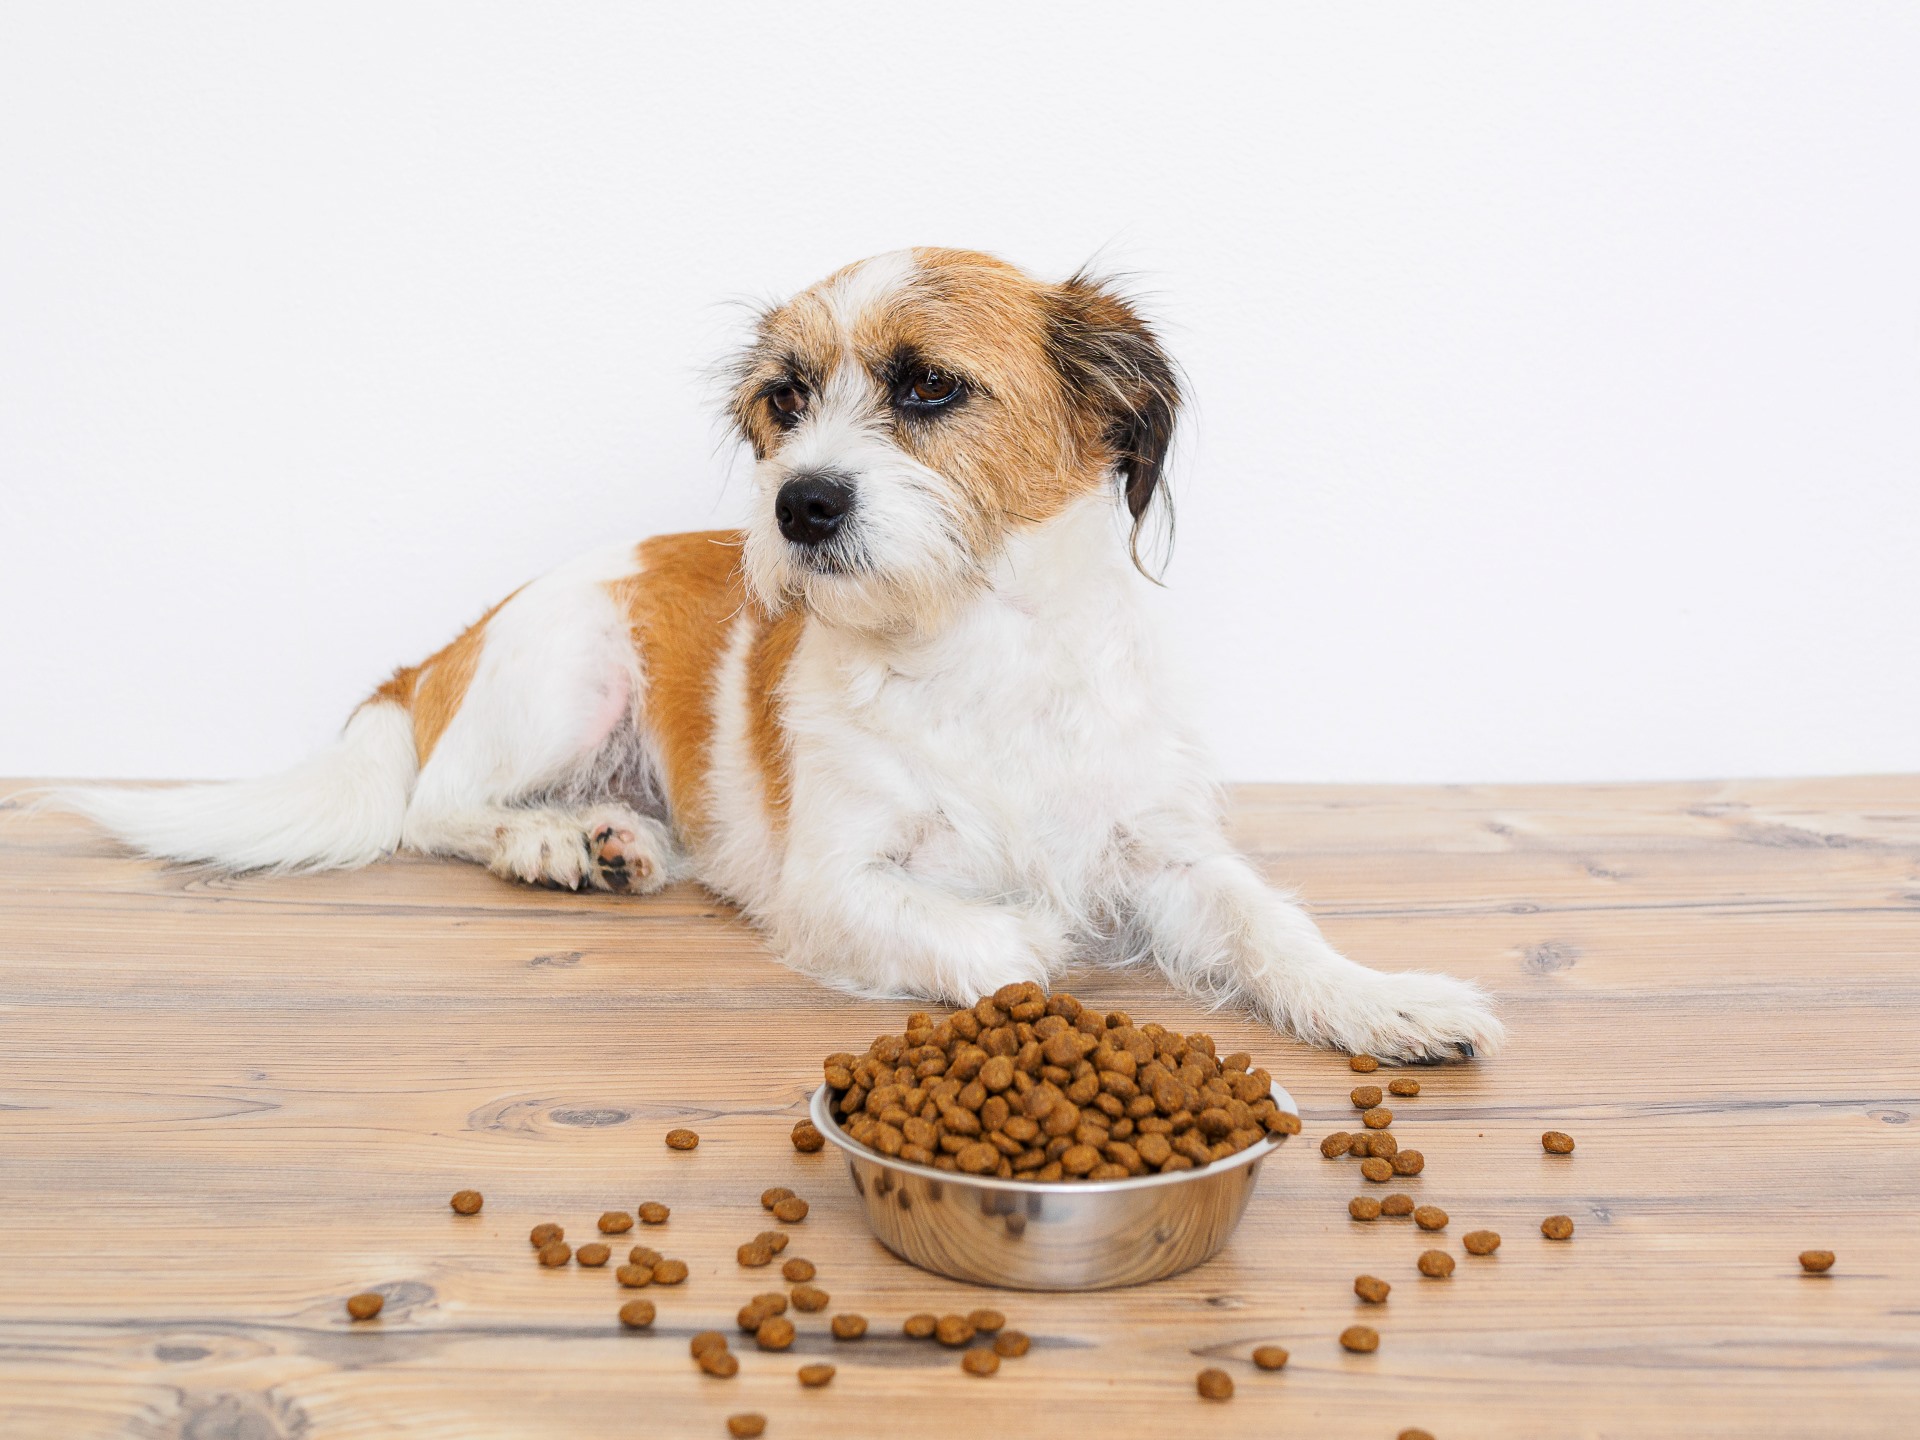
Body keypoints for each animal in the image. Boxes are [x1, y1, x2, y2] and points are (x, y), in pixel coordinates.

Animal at [56, 245, 1497, 1059]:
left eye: (929, 386)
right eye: (786, 402)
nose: (799, 504)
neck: (986, 650)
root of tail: (445, 647)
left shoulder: (1172, 851)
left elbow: (1270, 926)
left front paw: (1385, 1002)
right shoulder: (839, 885)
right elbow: (1007, 945)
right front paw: (1043, 937)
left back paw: (618, 836)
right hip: (572, 669)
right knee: (436, 807)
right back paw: (552, 839)